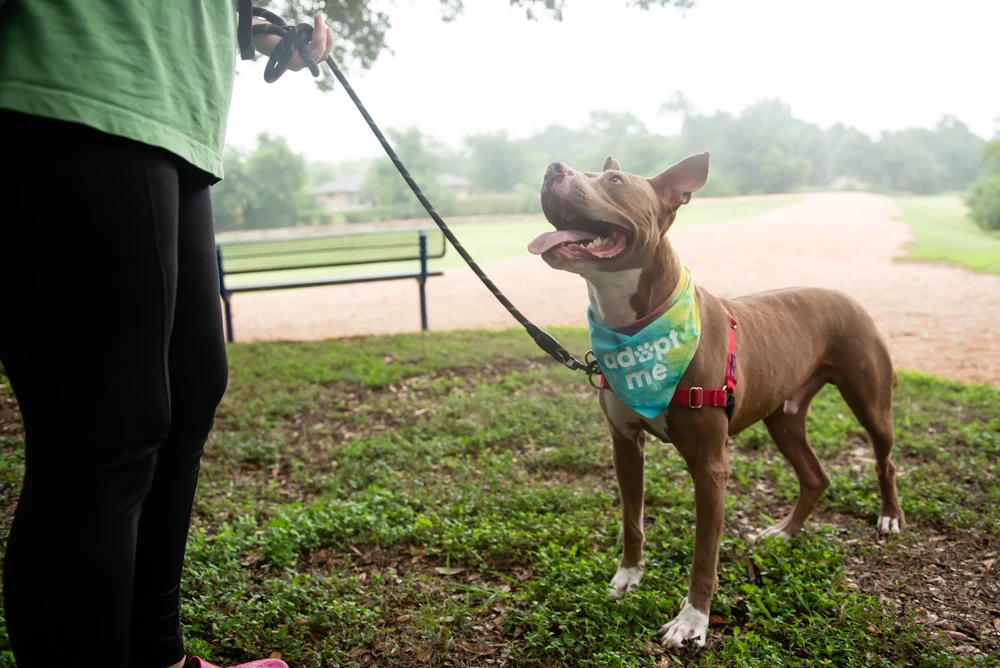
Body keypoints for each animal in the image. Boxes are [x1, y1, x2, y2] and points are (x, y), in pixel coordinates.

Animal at [532, 153, 908, 648]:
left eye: (614, 180)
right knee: (815, 476)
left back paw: (889, 517)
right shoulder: (625, 444)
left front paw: (692, 621)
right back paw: (784, 532)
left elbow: (704, 554)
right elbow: (632, 521)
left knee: (885, 460)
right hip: (783, 418)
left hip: (870, 402)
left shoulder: (710, 466)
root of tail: (848, 297)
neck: (638, 329)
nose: (553, 168)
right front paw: (629, 577)